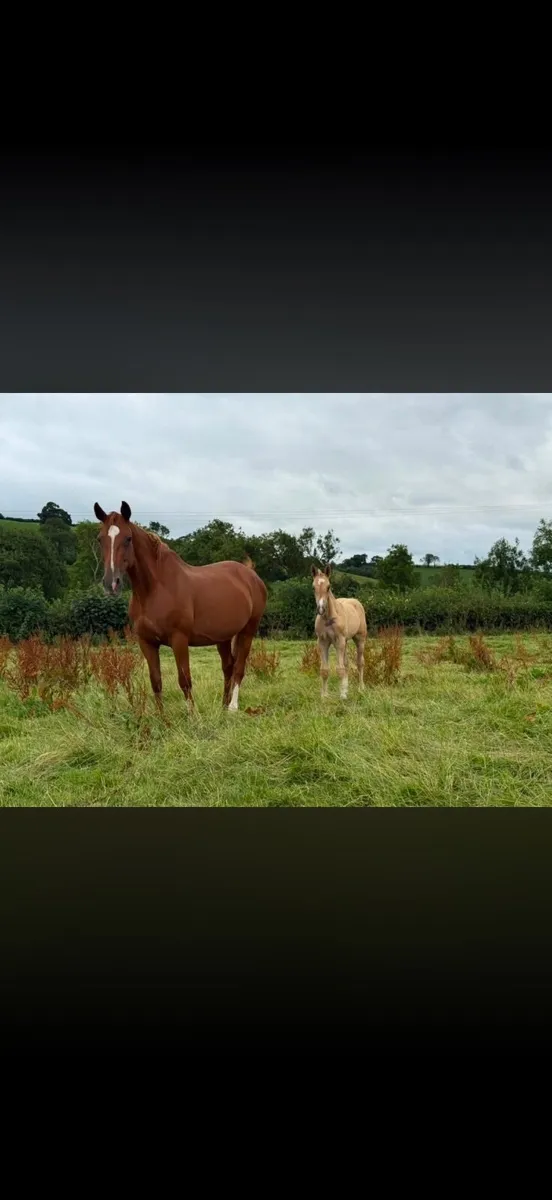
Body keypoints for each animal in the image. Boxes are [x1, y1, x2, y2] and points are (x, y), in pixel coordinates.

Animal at [93, 501, 267, 714]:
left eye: (128, 538)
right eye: (100, 539)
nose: (111, 583)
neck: (155, 589)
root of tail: (250, 574)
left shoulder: (179, 639)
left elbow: (184, 680)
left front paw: (193, 716)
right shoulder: (147, 642)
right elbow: (156, 681)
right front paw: (162, 718)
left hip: (247, 632)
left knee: (239, 668)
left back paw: (232, 708)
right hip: (223, 637)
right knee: (228, 667)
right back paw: (223, 706)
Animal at [311, 564, 367, 700]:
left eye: (328, 586)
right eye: (313, 587)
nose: (321, 609)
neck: (328, 618)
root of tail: (355, 601)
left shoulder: (339, 641)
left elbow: (340, 669)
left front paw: (342, 696)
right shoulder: (322, 642)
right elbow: (324, 670)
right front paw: (324, 696)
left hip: (359, 639)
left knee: (360, 663)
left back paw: (361, 688)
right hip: (345, 642)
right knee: (346, 664)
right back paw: (346, 689)